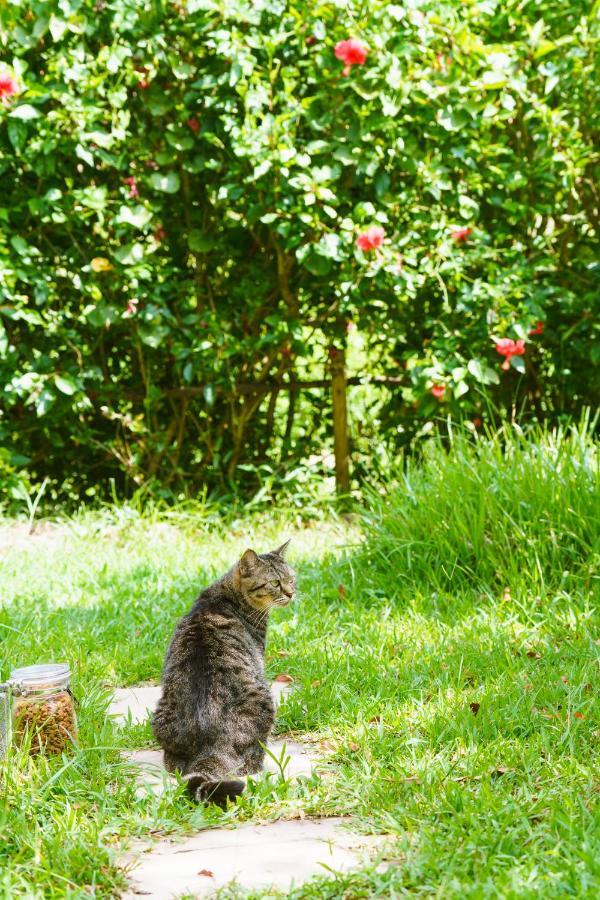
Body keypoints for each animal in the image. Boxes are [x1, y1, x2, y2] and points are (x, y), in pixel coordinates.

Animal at [150, 540, 296, 808]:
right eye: (274, 583)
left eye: (291, 579)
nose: (291, 593)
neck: (227, 595)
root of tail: (210, 743)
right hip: (264, 698)